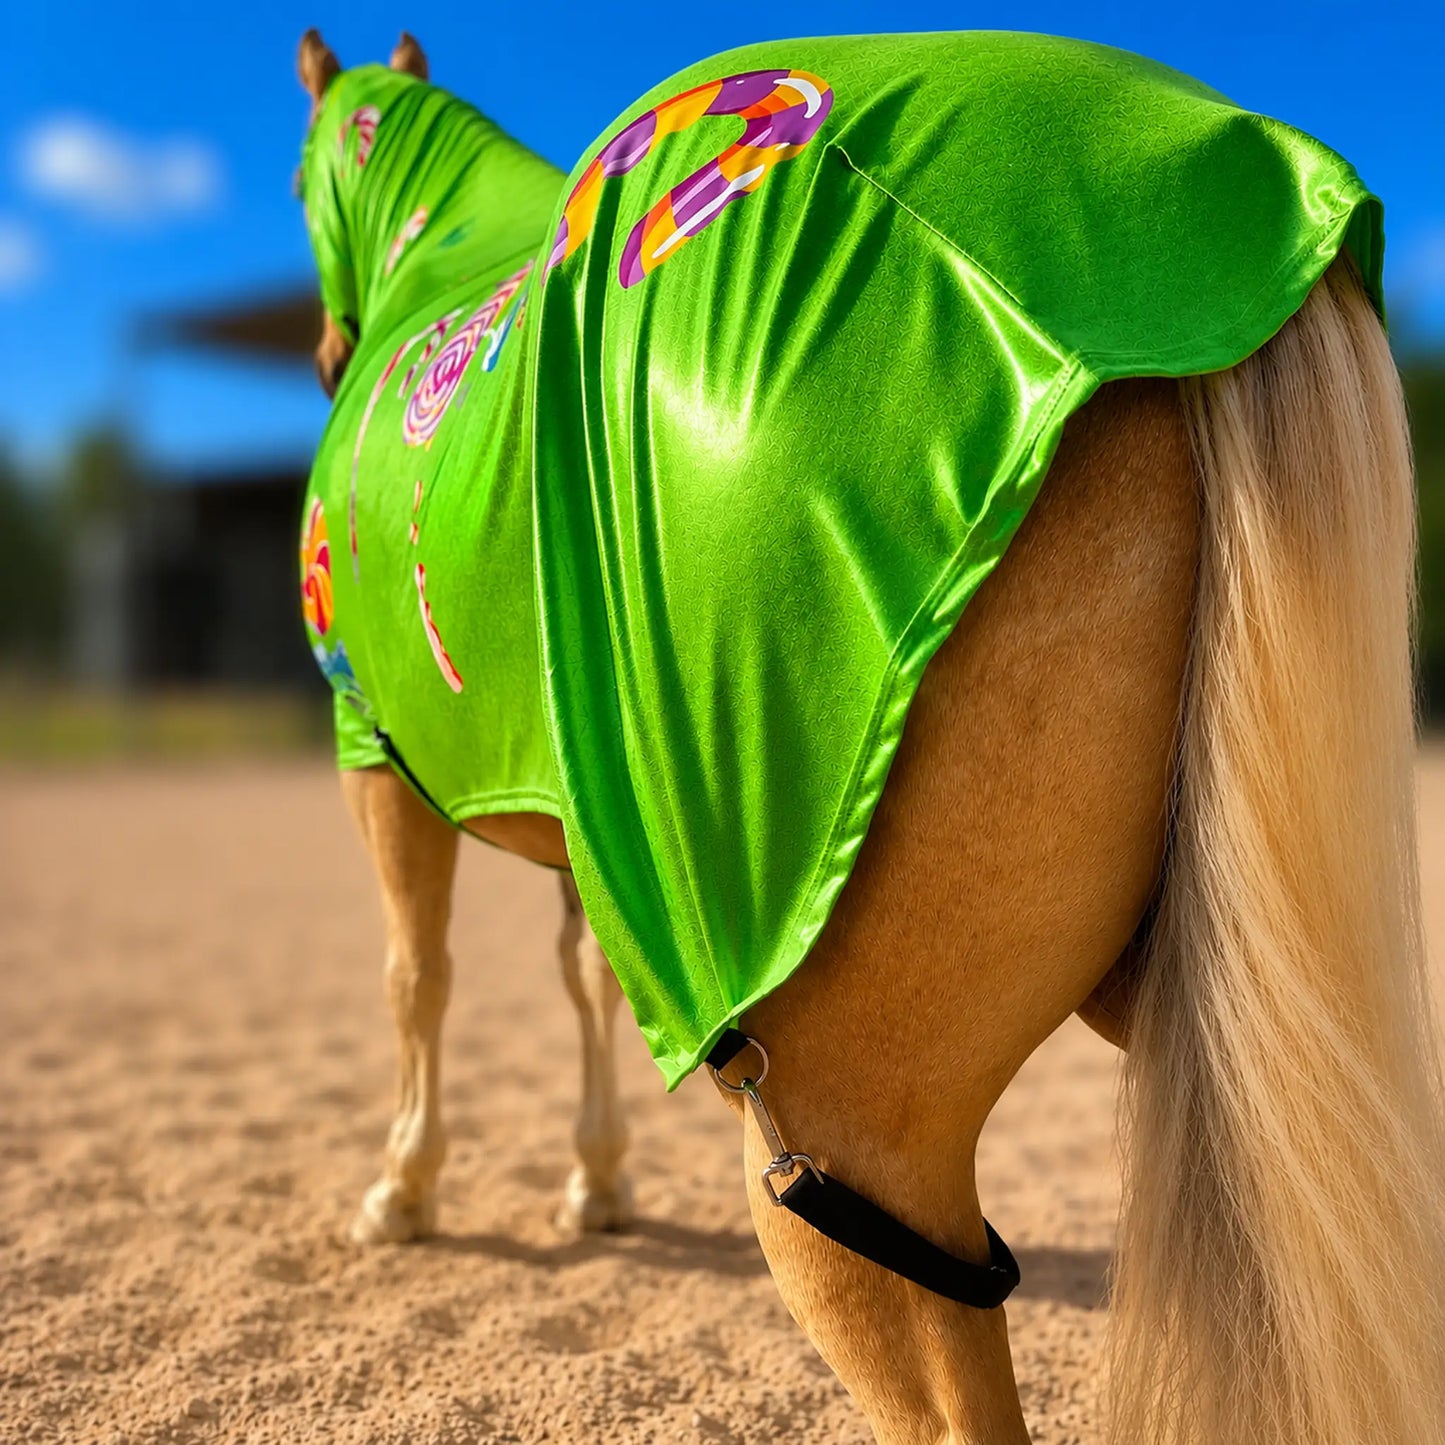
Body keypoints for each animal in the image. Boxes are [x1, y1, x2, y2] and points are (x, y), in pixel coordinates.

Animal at [294, 27, 1445, 1444]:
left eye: (299, 179)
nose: (325, 356)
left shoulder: (374, 760)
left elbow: (417, 978)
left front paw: (402, 1189)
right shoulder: (585, 819)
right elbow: (582, 983)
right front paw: (594, 1181)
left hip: (847, 1149)